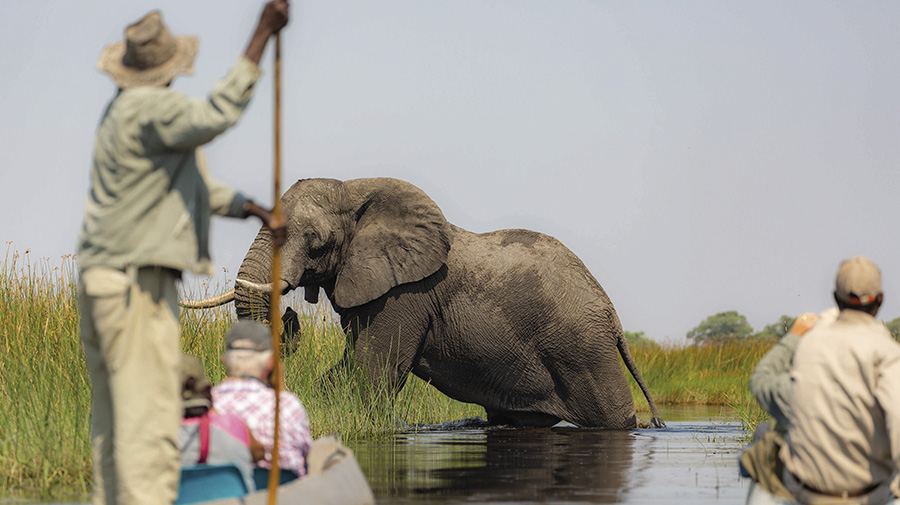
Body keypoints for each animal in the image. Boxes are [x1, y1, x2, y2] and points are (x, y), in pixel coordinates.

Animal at [184, 177, 662, 429]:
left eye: (316, 242)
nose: (289, 314)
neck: (355, 189)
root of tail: (612, 314)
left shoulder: (404, 296)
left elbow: (373, 371)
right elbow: (347, 367)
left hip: (583, 350)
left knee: (613, 419)